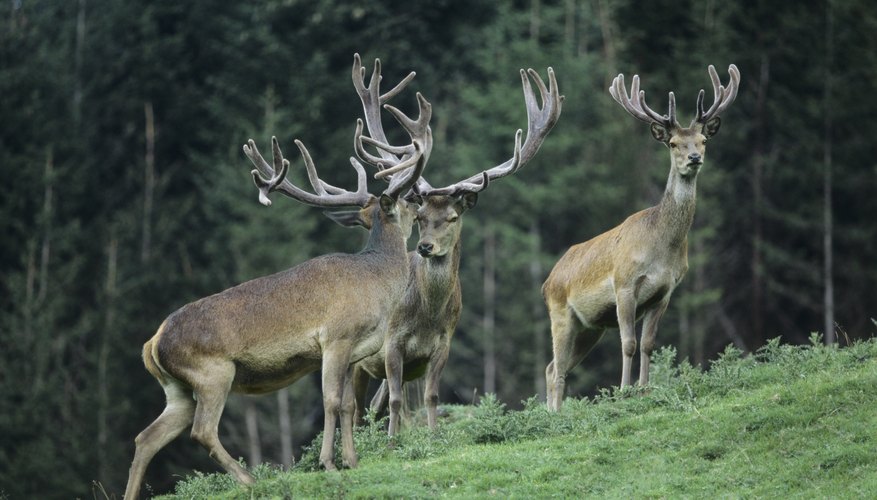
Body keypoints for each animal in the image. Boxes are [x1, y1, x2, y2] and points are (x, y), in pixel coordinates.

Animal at [125, 55, 432, 500]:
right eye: (408, 201)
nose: (422, 199)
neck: (377, 283)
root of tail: (153, 343)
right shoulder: (336, 337)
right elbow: (332, 402)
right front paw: (329, 463)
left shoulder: (355, 349)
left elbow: (348, 405)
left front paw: (352, 460)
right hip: (213, 372)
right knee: (202, 431)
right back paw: (250, 478)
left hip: (177, 388)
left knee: (147, 436)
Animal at [348, 56, 560, 436]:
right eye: (419, 217)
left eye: (452, 217)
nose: (425, 248)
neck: (426, 316)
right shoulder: (391, 342)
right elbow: (398, 401)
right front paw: (392, 442)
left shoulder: (444, 344)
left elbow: (430, 396)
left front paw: (432, 436)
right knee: (358, 410)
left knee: (373, 405)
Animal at [540, 62, 740, 410]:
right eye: (673, 143)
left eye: (703, 140)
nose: (694, 158)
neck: (661, 248)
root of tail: (547, 281)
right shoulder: (624, 285)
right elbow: (629, 343)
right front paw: (623, 391)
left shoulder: (664, 292)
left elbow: (648, 344)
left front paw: (645, 389)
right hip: (561, 312)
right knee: (556, 367)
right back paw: (553, 414)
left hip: (590, 327)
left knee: (554, 366)